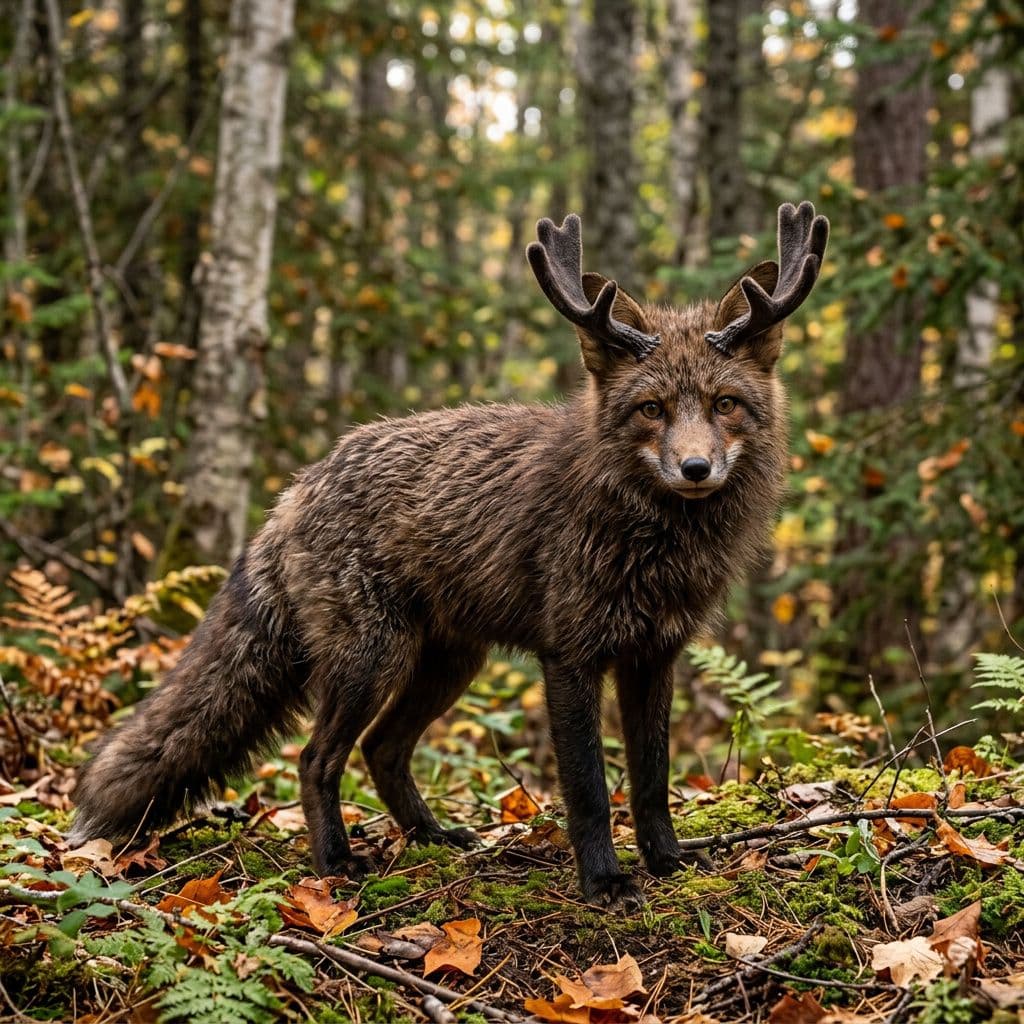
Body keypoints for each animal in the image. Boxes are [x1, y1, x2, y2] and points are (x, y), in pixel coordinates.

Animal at [69, 202, 828, 906]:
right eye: (652, 410)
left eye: (724, 404)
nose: (696, 469)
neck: (654, 546)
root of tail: (299, 486)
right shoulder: (571, 658)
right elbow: (588, 788)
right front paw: (604, 880)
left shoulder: (654, 657)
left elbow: (652, 779)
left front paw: (667, 863)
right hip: (371, 660)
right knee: (317, 759)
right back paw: (336, 863)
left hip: (448, 664)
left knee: (381, 749)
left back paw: (431, 837)